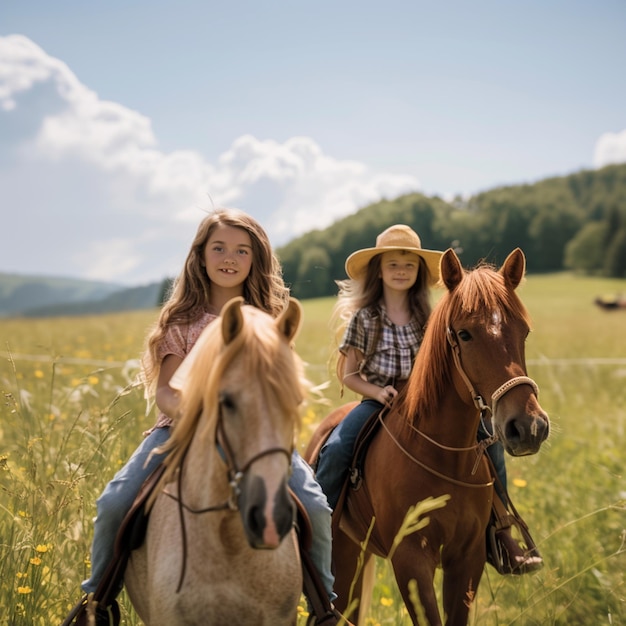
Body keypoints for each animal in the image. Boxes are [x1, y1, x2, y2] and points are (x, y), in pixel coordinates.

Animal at [306, 246, 544, 620]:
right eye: (464, 334)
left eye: (524, 332)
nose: (529, 426)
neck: (442, 457)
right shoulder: (411, 561)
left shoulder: (468, 560)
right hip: (343, 555)